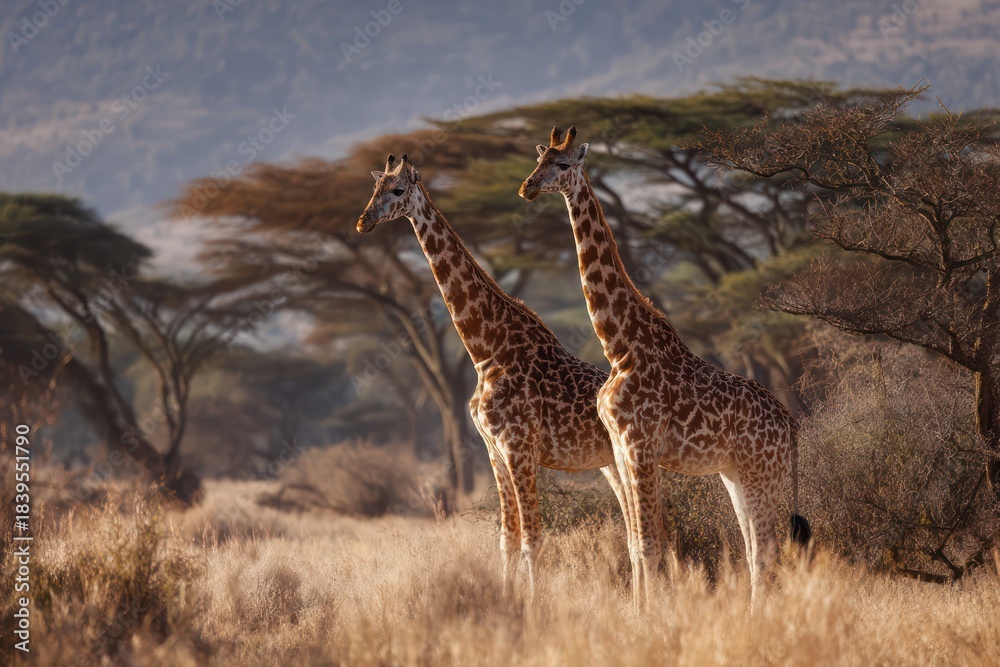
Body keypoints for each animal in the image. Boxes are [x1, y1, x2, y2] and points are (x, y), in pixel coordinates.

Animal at [357, 153, 633, 591]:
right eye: (374, 188)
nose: (363, 221)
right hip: (610, 464)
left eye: (397, 190)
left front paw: (533, 603)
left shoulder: (518, 448)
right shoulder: (493, 451)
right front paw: (508, 598)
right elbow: (508, 538)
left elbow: (533, 538)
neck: (487, 351)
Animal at [518, 127, 811, 607]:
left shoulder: (640, 446)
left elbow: (650, 545)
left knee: (768, 549)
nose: (526, 187)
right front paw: (641, 612)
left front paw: (651, 616)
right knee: (755, 549)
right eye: (538, 160)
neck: (619, 346)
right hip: (735, 473)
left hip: (760, 472)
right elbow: (637, 543)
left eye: (562, 165)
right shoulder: (621, 448)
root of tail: (790, 425)